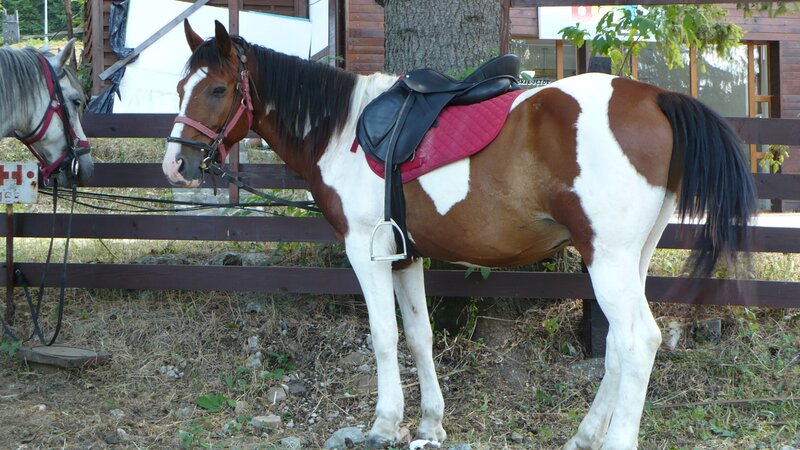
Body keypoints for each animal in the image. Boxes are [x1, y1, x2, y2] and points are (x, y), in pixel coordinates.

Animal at [163, 21, 756, 449]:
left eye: (217, 88)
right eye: (180, 86)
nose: (176, 165)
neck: (344, 129)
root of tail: (655, 97)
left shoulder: (365, 252)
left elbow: (384, 336)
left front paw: (383, 424)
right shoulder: (404, 255)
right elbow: (419, 336)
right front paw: (429, 424)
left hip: (607, 260)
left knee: (639, 342)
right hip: (629, 259)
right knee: (618, 346)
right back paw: (584, 436)